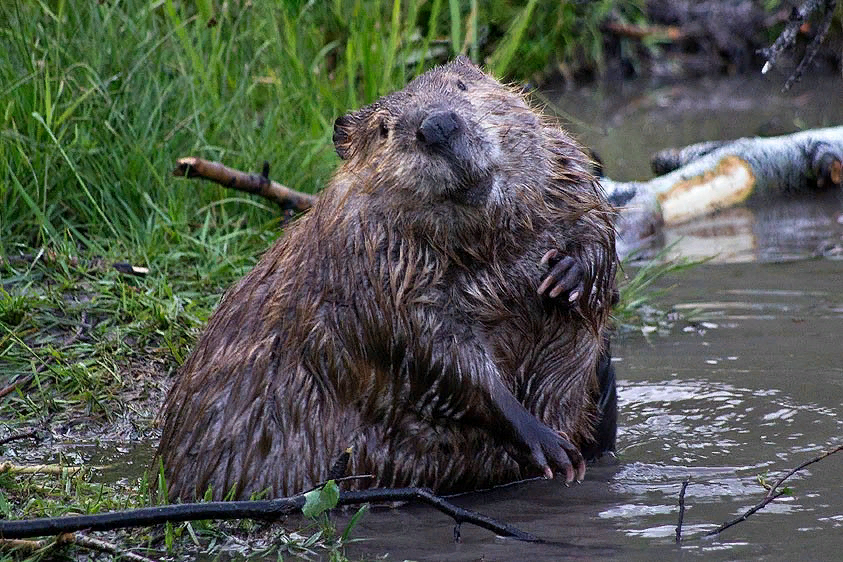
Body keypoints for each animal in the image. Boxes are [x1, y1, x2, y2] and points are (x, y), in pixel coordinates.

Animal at [158, 54, 616, 498]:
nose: (437, 126)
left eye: (463, 86)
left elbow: (593, 219)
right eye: (384, 129)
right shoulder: (367, 271)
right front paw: (550, 445)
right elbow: (432, 353)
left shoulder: (562, 170)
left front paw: (567, 274)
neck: (485, 245)